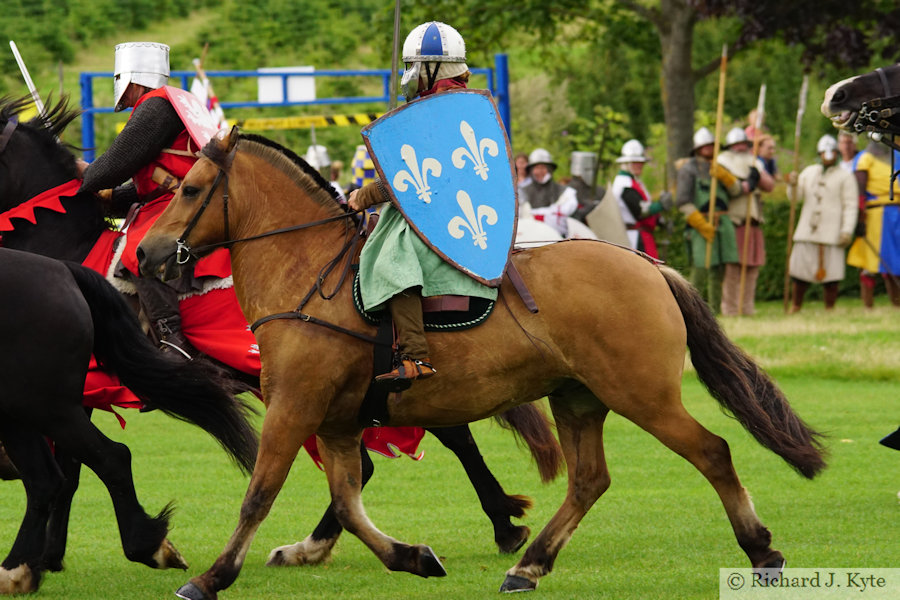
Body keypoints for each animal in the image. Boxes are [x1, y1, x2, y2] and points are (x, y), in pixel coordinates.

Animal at [0, 246, 258, 592]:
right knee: (48, 479)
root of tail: (63, 270)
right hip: (22, 410)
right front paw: (49, 558)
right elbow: (70, 476)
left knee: (109, 459)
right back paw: (21, 570)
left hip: (43, 406)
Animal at [137, 129, 828, 596]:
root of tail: (648, 265)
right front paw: (411, 556)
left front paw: (212, 576)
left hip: (644, 396)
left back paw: (762, 551)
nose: (145, 253)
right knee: (589, 480)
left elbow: (260, 493)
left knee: (712, 451)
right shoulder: (335, 423)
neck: (309, 274)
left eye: (190, 190)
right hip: (578, 397)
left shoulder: (294, 407)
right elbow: (349, 503)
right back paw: (529, 564)